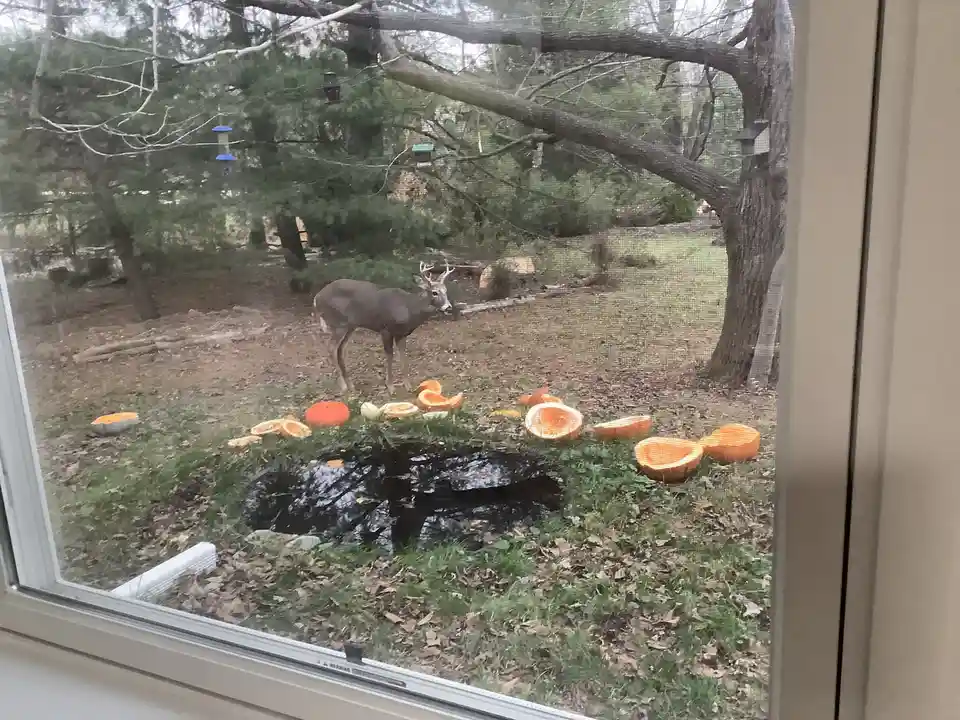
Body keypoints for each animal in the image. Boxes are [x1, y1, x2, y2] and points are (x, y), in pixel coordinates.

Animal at [312, 260, 456, 396]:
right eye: (434, 292)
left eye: (446, 291)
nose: (448, 307)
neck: (409, 309)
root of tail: (316, 298)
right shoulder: (385, 329)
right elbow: (390, 356)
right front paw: (390, 387)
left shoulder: (402, 334)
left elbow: (403, 356)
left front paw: (408, 386)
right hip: (338, 323)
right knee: (331, 348)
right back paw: (343, 386)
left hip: (350, 326)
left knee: (340, 349)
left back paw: (351, 385)